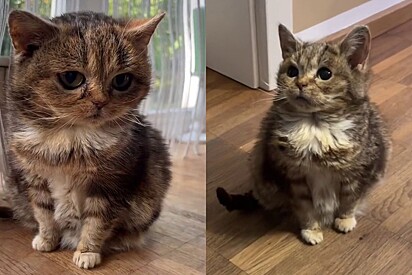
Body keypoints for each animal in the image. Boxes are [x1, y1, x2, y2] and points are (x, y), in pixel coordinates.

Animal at [1, 9, 171, 268]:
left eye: (122, 80)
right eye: (71, 78)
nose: (100, 102)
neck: (70, 138)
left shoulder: (111, 184)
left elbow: (97, 221)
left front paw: (87, 251)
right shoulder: (34, 177)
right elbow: (43, 212)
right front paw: (47, 239)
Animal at [217, 24, 392, 246]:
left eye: (325, 73)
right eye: (292, 71)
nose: (300, 83)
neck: (315, 126)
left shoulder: (358, 171)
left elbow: (350, 198)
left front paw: (345, 219)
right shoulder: (293, 177)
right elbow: (305, 207)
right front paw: (311, 230)